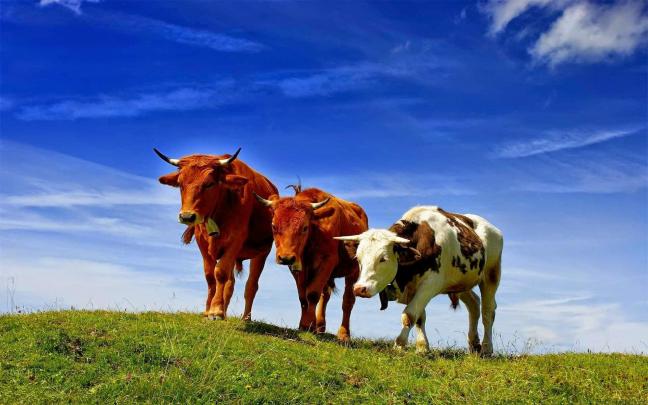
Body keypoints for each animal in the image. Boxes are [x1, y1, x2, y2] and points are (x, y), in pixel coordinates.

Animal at [154, 147, 277, 321]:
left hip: (261, 252)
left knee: (251, 285)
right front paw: (209, 310)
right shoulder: (202, 243)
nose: (187, 216)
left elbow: (220, 273)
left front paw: (216, 311)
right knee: (230, 284)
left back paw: (245, 317)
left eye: (209, 184)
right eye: (180, 184)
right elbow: (210, 276)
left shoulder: (235, 240)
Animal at [254, 186, 368, 342]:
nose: (286, 258)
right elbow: (303, 297)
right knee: (325, 296)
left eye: (304, 227)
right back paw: (319, 326)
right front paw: (306, 325)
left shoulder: (328, 260)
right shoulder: (297, 267)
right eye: (273, 226)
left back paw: (344, 334)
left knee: (348, 301)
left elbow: (312, 294)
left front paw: (308, 324)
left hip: (353, 271)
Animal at [335, 206, 503, 355]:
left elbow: (409, 315)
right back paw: (474, 345)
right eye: (358, 258)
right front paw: (422, 347)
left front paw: (399, 344)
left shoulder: (430, 285)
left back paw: (487, 348)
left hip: (491, 274)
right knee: (474, 305)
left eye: (383, 258)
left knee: (488, 311)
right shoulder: (414, 288)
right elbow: (420, 318)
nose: (359, 288)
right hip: (461, 282)